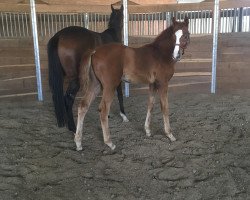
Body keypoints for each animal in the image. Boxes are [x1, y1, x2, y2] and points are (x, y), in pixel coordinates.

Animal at [47, 4, 129, 133]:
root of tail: (59, 36)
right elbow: (120, 94)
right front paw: (124, 116)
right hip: (76, 78)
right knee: (68, 99)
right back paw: (73, 127)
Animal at [74, 17, 189, 151]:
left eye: (185, 35)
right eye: (173, 36)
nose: (177, 55)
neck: (161, 54)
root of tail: (94, 51)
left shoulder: (152, 84)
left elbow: (150, 104)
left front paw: (148, 130)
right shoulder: (163, 83)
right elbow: (164, 107)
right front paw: (170, 134)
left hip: (95, 85)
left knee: (83, 106)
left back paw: (78, 142)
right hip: (109, 86)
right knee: (103, 110)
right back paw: (109, 142)